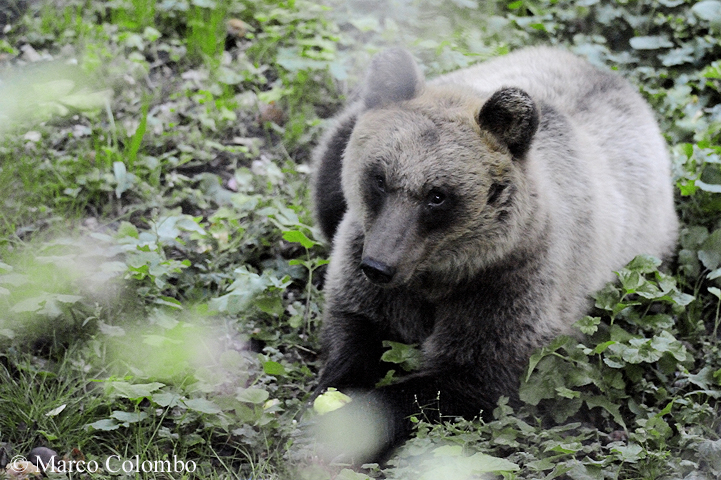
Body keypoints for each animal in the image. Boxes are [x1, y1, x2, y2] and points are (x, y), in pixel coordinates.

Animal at [308, 47, 676, 464]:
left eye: (438, 195)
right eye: (380, 178)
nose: (379, 266)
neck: (438, 274)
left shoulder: (509, 286)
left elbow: (471, 379)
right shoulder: (365, 261)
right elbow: (354, 330)